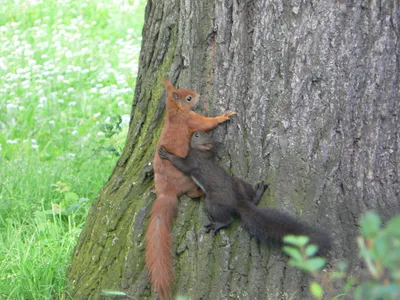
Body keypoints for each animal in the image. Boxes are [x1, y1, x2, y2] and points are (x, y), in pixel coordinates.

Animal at [146, 81, 234, 298]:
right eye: (188, 98)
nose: (198, 94)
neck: (174, 112)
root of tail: (166, 192)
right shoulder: (191, 120)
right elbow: (206, 123)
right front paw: (225, 116)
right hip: (190, 178)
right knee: (192, 193)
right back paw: (201, 193)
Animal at [158, 131, 332, 255]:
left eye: (197, 136)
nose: (194, 132)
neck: (203, 154)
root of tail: (238, 202)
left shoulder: (193, 162)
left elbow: (181, 165)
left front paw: (167, 154)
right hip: (240, 183)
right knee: (251, 199)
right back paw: (258, 193)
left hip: (213, 202)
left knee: (228, 219)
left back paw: (219, 224)